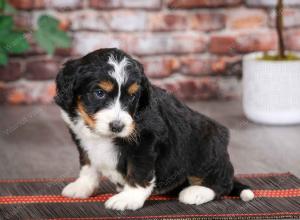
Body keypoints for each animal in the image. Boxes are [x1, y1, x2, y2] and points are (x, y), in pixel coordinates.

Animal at [55, 48, 254, 211]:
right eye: (99, 93)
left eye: (133, 96)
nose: (117, 126)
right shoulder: (81, 138)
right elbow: (88, 164)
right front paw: (81, 186)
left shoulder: (145, 141)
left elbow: (138, 171)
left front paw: (129, 198)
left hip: (206, 147)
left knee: (222, 183)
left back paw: (196, 192)